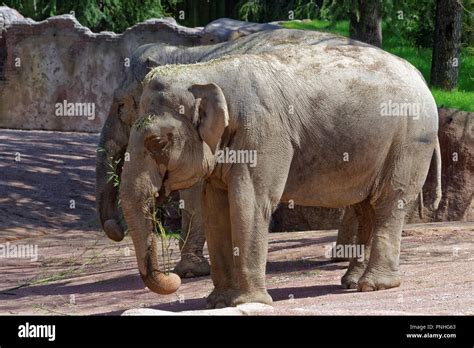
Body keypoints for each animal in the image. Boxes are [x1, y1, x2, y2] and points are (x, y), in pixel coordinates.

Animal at [95, 29, 370, 278]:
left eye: (121, 105)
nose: (116, 230)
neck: (187, 55)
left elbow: (194, 189)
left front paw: (190, 271)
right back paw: (341, 257)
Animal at [121, 39, 440, 308]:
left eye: (157, 142)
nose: (173, 279)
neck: (207, 70)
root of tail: (421, 76)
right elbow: (216, 208)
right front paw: (218, 302)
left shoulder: (263, 132)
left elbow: (249, 202)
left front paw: (248, 302)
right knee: (366, 207)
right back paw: (351, 282)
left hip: (410, 141)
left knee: (390, 201)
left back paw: (375, 285)